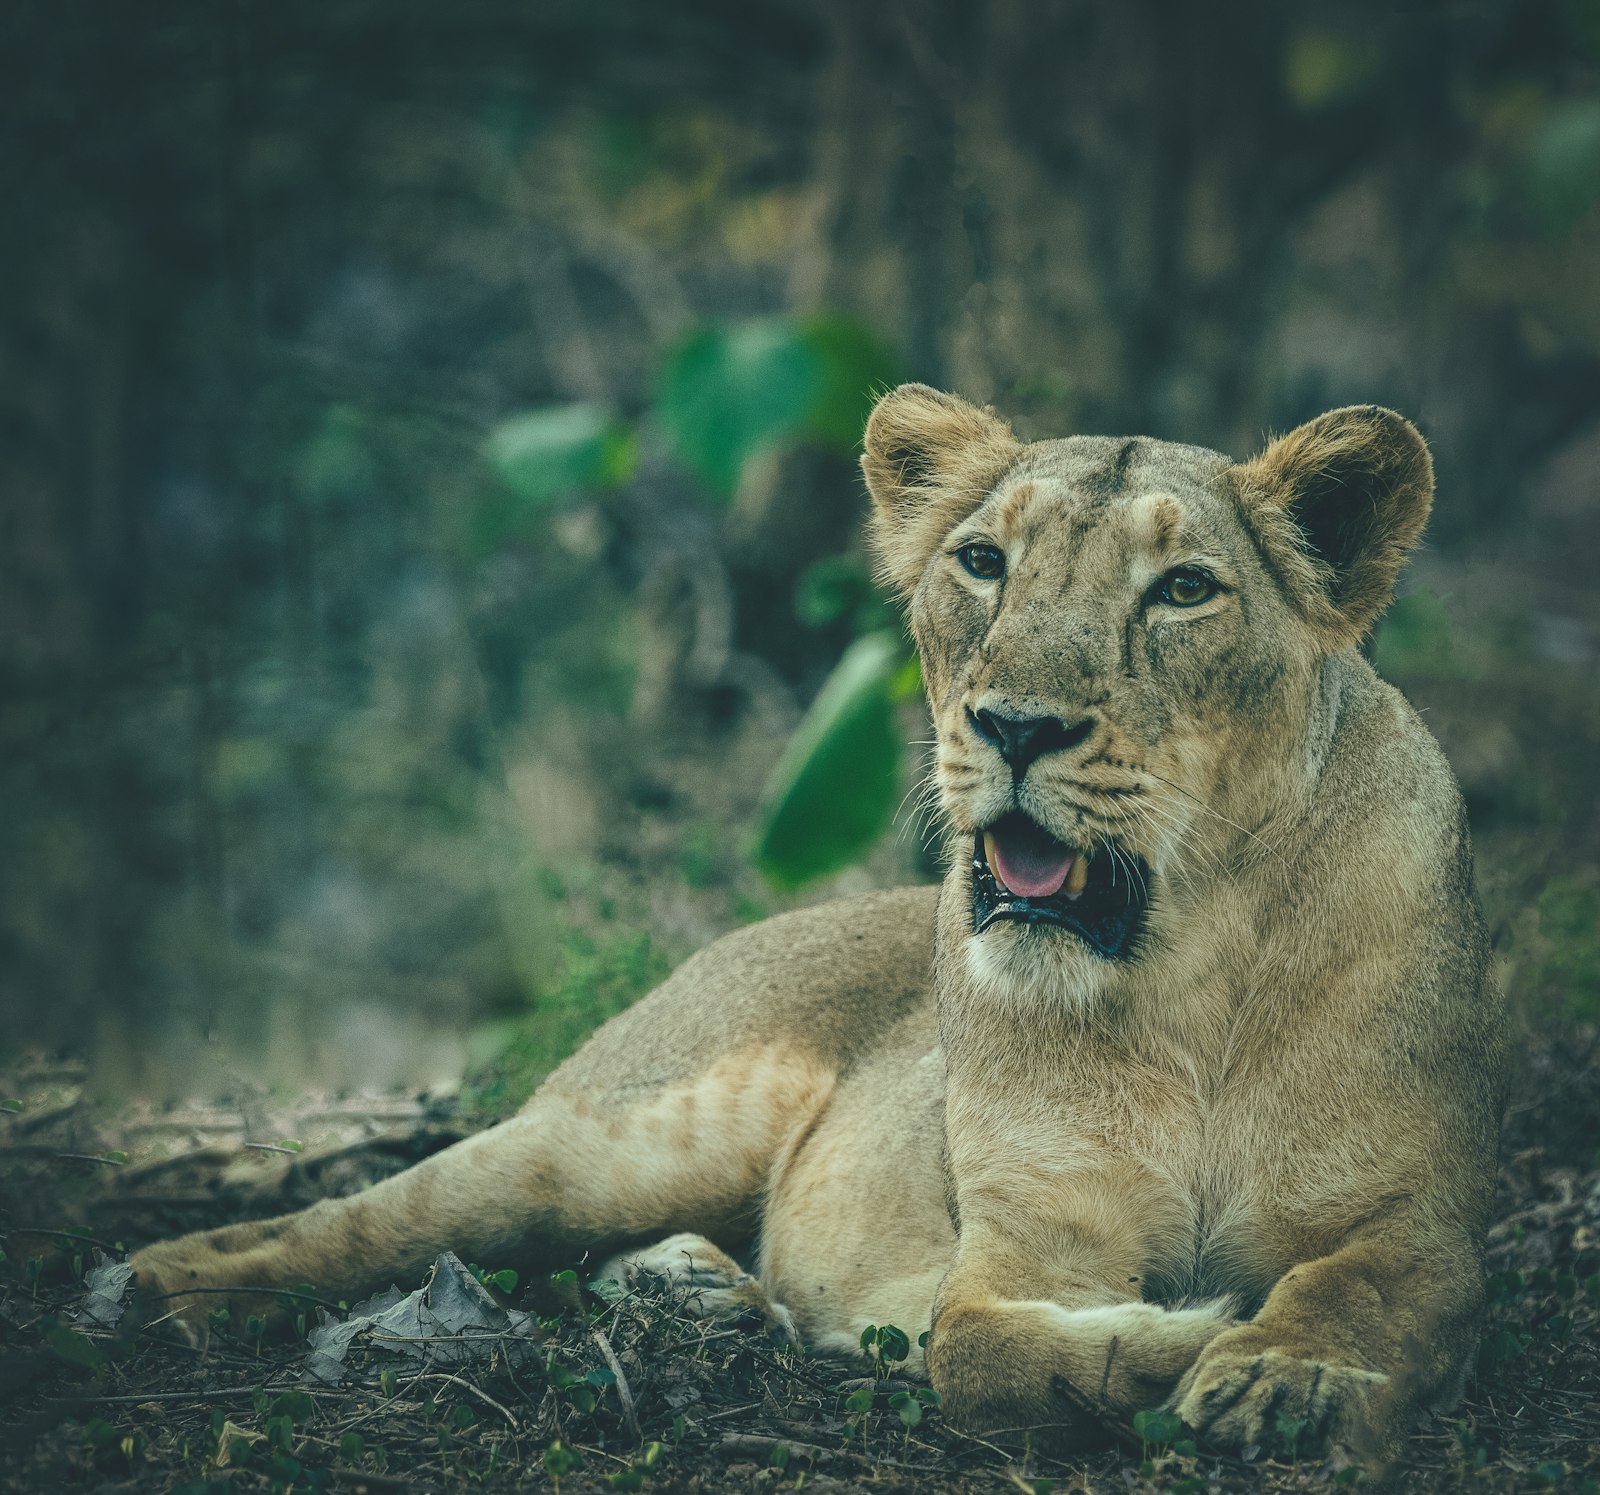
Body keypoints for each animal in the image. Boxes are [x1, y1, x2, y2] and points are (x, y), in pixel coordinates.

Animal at [129, 385, 1505, 1459]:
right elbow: (980, 1353)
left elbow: (1360, 1293)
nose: (1013, 727)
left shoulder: (1423, 1220)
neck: (1190, 973)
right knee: (340, 1225)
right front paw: (1195, 1342)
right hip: (610, 1144)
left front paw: (1285, 1377)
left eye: (1182, 590)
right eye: (982, 563)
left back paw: (703, 1295)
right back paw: (156, 1290)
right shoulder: (1019, 1245)